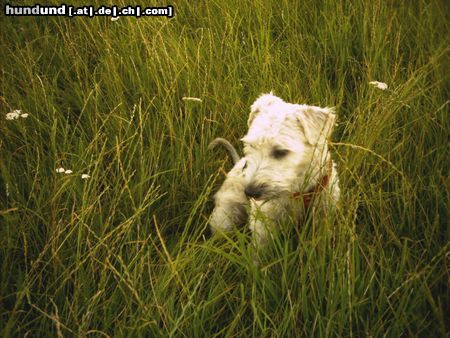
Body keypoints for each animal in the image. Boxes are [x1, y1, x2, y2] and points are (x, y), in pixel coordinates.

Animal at [209, 93, 340, 247]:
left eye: (280, 152)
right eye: (251, 146)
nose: (250, 193)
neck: (299, 192)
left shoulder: (323, 218)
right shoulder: (263, 225)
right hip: (224, 219)